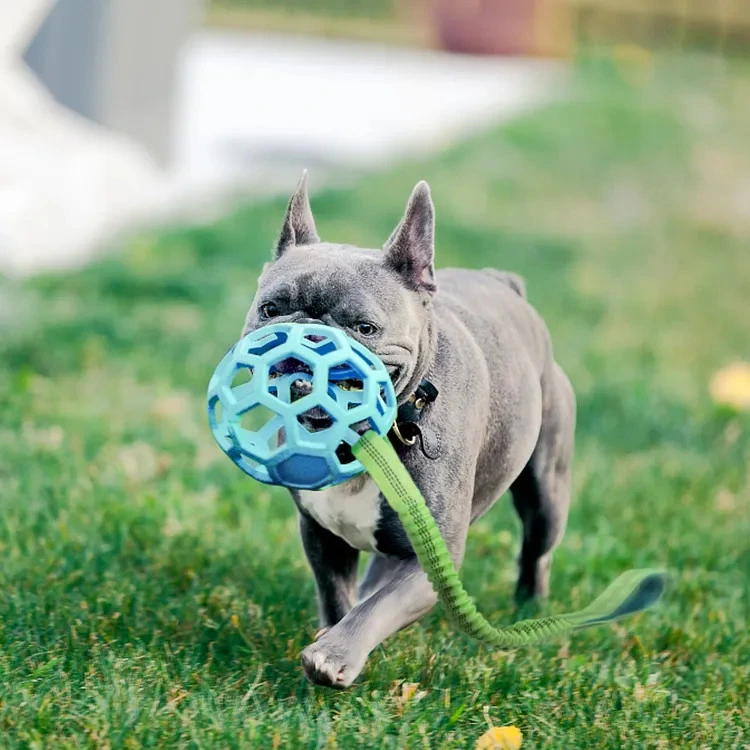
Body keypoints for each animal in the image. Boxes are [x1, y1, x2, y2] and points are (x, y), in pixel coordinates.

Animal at [241, 173, 576, 692]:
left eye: (365, 327)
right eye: (270, 308)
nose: (308, 337)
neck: (361, 442)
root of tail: (505, 283)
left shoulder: (430, 562)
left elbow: (377, 609)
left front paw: (333, 655)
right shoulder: (322, 537)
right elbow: (339, 598)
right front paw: (335, 638)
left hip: (545, 489)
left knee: (537, 547)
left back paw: (529, 606)